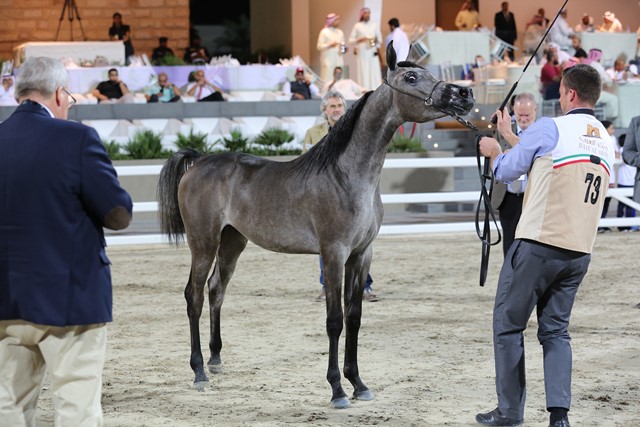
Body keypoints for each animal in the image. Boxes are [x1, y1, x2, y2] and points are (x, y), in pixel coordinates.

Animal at [157, 42, 475, 408]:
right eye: (411, 78)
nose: (464, 94)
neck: (348, 176)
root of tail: (199, 162)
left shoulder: (361, 255)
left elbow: (354, 317)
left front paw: (359, 383)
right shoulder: (334, 254)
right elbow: (334, 320)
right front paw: (337, 390)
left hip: (233, 242)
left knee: (215, 290)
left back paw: (215, 358)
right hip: (203, 242)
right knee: (193, 295)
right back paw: (198, 371)